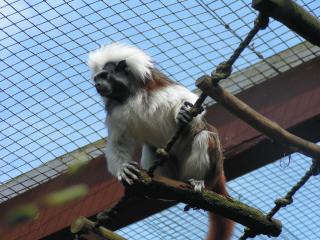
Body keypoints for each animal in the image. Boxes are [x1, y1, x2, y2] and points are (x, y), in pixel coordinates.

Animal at [89, 42, 234, 239]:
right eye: (96, 79)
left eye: (104, 76)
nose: (97, 85)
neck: (129, 95)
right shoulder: (116, 111)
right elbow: (117, 143)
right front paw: (123, 169)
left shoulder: (157, 86)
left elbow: (188, 100)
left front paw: (184, 114)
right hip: (171, 173)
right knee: (151, 149)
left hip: (209, 167)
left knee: (204, 137)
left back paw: (197, 181)